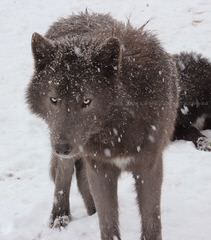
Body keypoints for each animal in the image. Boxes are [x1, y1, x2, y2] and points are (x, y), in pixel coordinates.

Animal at [25, 12, 179, 240]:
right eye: (53, 99)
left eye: (86, 101)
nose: (62, 148)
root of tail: (74, 16)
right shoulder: (100, 166)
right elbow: (108, 224)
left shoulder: (149, 164)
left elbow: (151, 221)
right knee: (64, 174)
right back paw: (60, 216)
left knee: (80, 179)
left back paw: (90, 212)